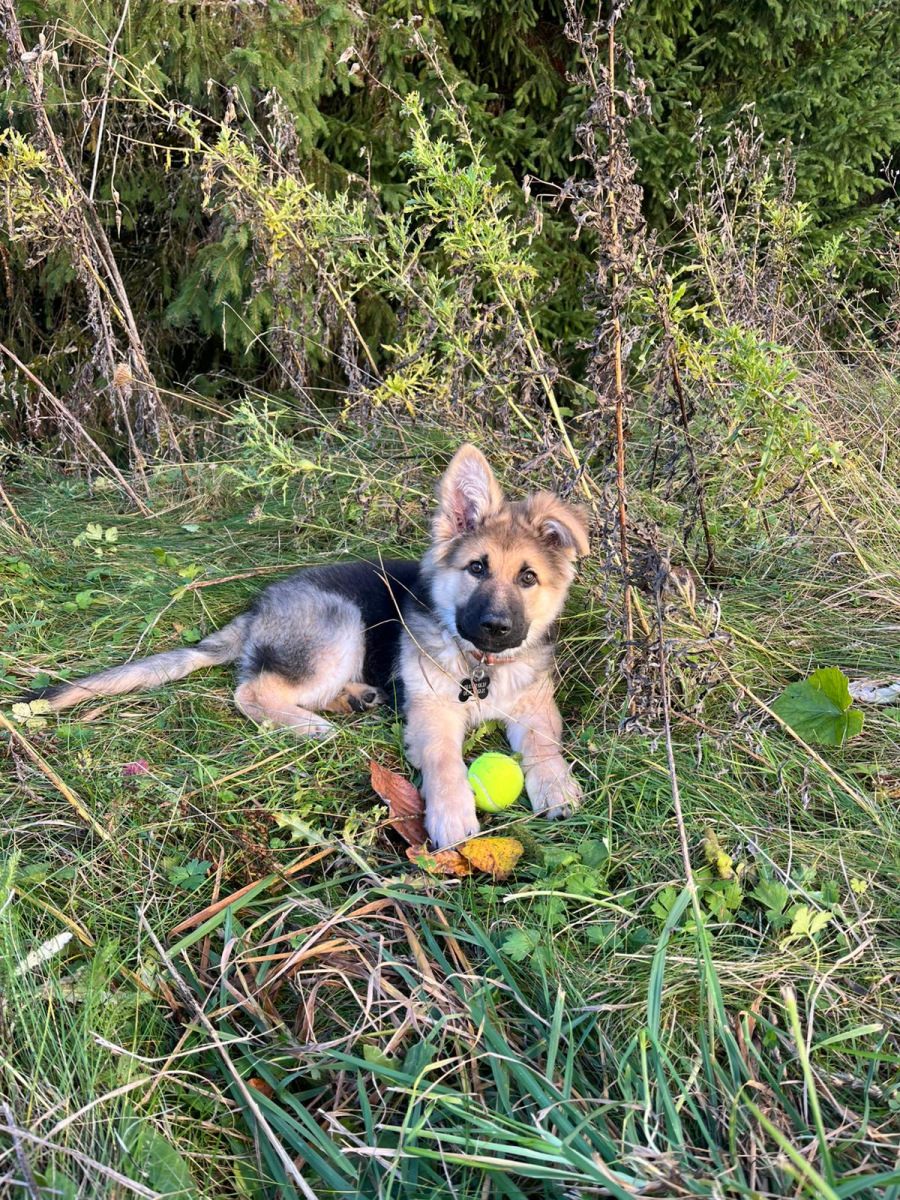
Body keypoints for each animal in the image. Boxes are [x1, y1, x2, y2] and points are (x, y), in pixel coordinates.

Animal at [27, 446, 589, 848]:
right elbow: (445, 761)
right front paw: (452, 814)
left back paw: (353, 699)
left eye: (528, 578)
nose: (495, 627)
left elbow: (544, 744)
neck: (480, 666)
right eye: (477, 568)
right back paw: (308, 725)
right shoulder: (431, 713)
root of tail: (259, 607)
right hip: (340, 623)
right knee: (253, 691)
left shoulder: (535, 704)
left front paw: (556, 785)